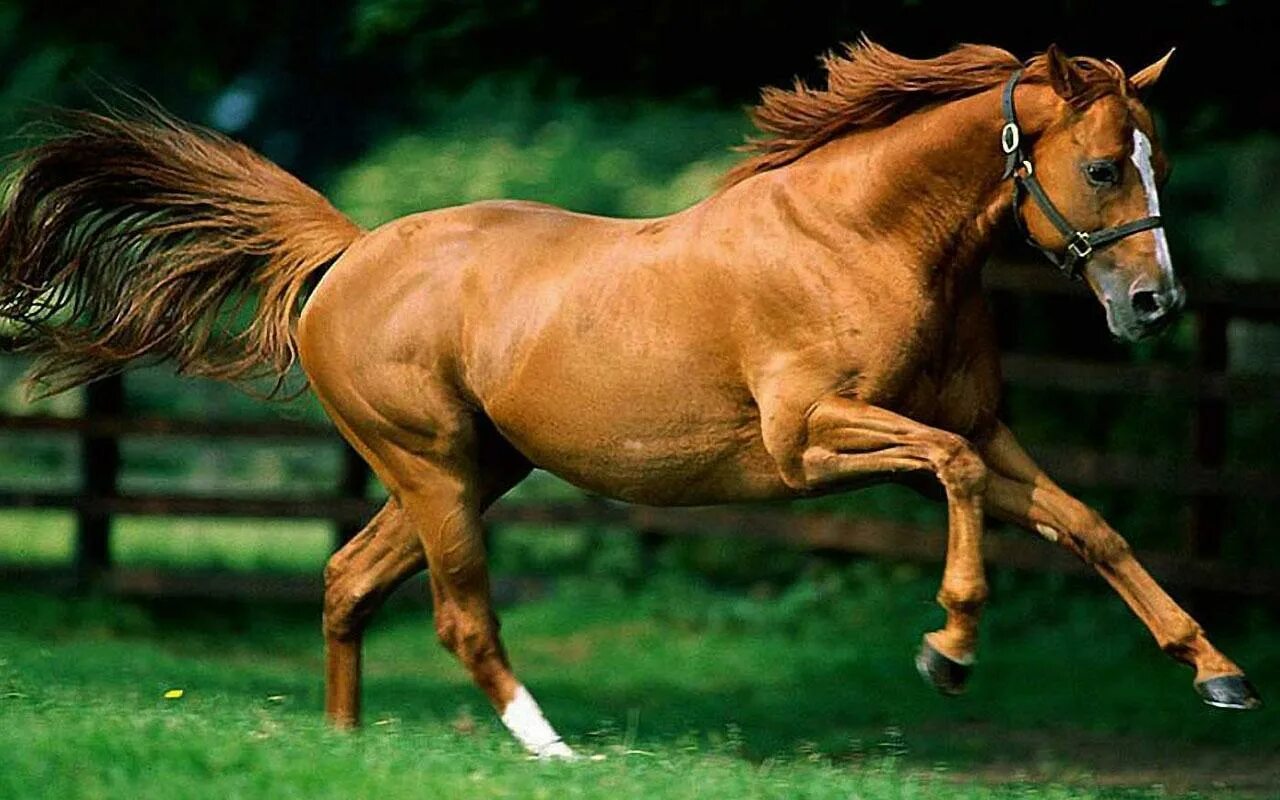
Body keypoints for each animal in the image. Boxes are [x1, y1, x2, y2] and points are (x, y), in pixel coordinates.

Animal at [0, 39, 1260, 759]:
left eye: (1156, 160)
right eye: (1100, 166)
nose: (1154, 304)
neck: (861, 239)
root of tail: (349, 251)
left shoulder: (982, 430)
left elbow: (1090, 525)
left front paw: (1217, 673)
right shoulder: (812, 442)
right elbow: (952, 482)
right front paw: (944, 648)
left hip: (473, 467)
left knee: (347, 578)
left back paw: (344, 748)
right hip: (430, 465)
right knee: (459, 614)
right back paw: (553, 752)